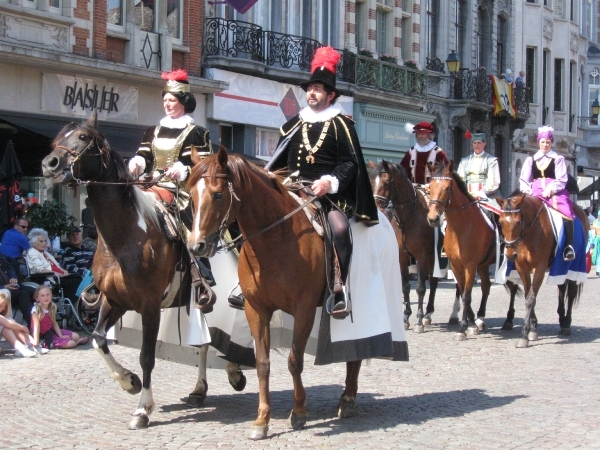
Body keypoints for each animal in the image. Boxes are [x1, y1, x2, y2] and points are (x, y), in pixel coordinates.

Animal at [39, 112, 244, 428]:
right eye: (59, 138)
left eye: (83, 137)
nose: (49, 163)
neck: (125, 238)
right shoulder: (114, 301)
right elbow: (98, 339)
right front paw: (129, 382)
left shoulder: (148, 305)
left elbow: (147, 356)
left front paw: (142, 408)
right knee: (206, 342)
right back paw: (200, 389)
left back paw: (235, 371)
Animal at [188, 147, 364, 440]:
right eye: (191, 195)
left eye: (218, 194)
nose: (196, 246)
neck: (276, 239)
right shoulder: (256, 309)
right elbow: (262, 362)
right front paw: (262, 419)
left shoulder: (304, 309)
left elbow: (295, 361)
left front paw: (300, 411)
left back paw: (348, 399)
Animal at [366, 160, 440, 332]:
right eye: (370, 182)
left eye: (386, 182)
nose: (376, 207)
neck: (408, 217)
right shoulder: (402, 257)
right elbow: (405, 287)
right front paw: (405, 317)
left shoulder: (422, 256)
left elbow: (420, 288)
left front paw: (418, 320)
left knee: (434, 281)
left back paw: (428, 315)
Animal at [426, 160, 520, 340]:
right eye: (430, 187)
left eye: (447, 188)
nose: (433, 218)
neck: (462, 227)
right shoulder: (456, 266)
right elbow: (463, 291)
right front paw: (471, 323)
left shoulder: (470, 266)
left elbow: (466, 295)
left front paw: (463, 328)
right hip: (484, 265)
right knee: (486, 286)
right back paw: (481, 318)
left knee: (513, 287)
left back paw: (509, 320)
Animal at [494, 192, 588, 348]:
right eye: (500, 222)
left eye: (518, 222)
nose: (510, 254)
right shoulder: (522, 268)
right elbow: (528, 295)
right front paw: (532, 329)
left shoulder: (540, 268)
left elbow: (531, 299)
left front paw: (524, 336)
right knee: (561, 288)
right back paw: (562, 319)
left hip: (574, 265)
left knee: (571, 292)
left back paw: (567, 325)